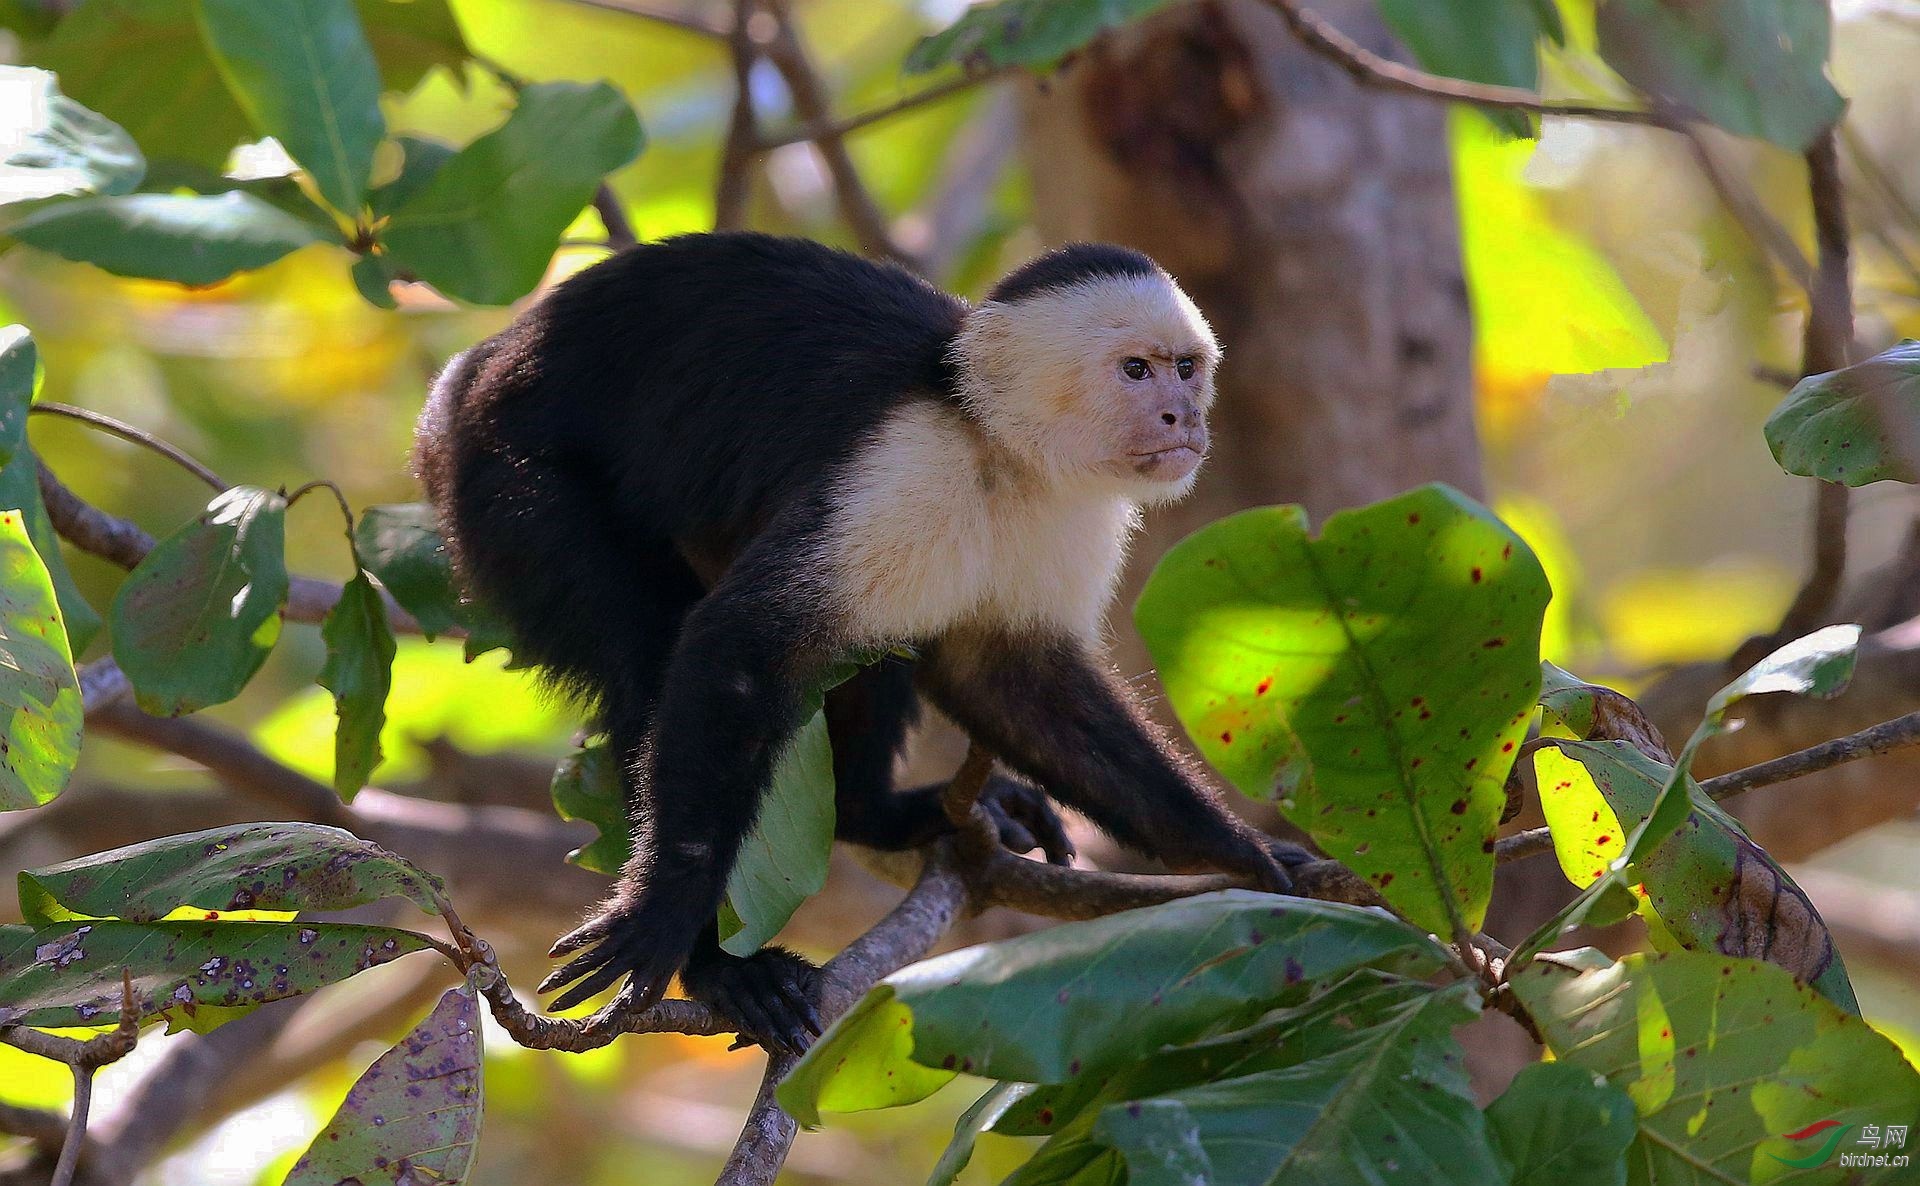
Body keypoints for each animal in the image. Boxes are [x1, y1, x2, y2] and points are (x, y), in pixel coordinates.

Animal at [412, 233, 1313, 1051]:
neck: (994, 442)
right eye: (1135, 371)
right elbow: (741, 647)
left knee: (877, 652)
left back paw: (874, 813)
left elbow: (1015, 683)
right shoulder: (903, 471)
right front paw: (668, 908)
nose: (1183, 417)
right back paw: (717, 966)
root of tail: (474, 373)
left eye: (1186, 368)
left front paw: (1237, 849)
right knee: (653, 652)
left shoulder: (1073, 519)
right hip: (507, 480)